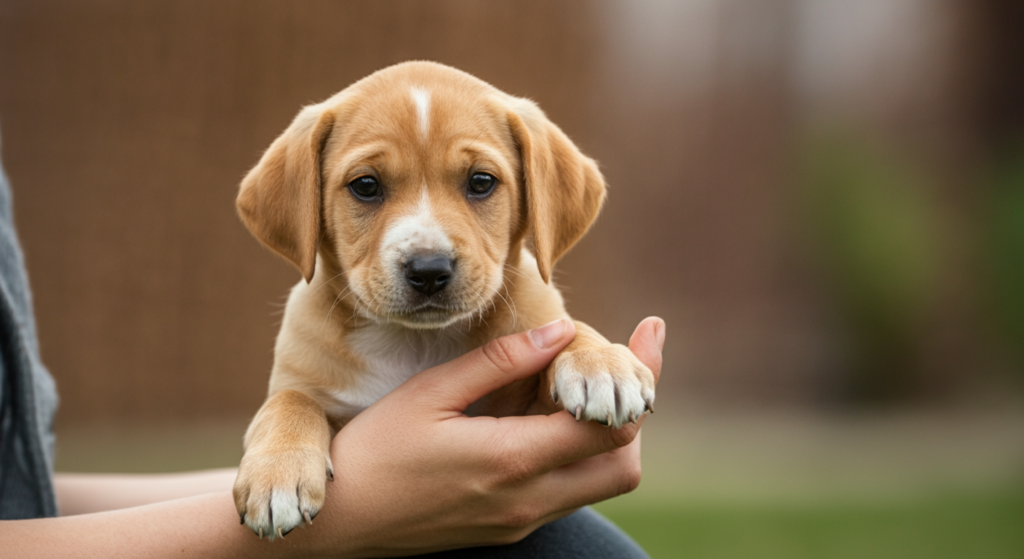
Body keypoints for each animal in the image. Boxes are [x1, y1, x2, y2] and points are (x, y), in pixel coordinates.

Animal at [233, 60, 655, 536]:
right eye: (365, 186)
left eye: (481, 182)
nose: (429, 270)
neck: (417, 342)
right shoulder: (302, 384)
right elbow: (289, 401)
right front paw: (276, 474)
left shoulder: (528, 405)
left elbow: (567, 329)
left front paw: (601, 363)